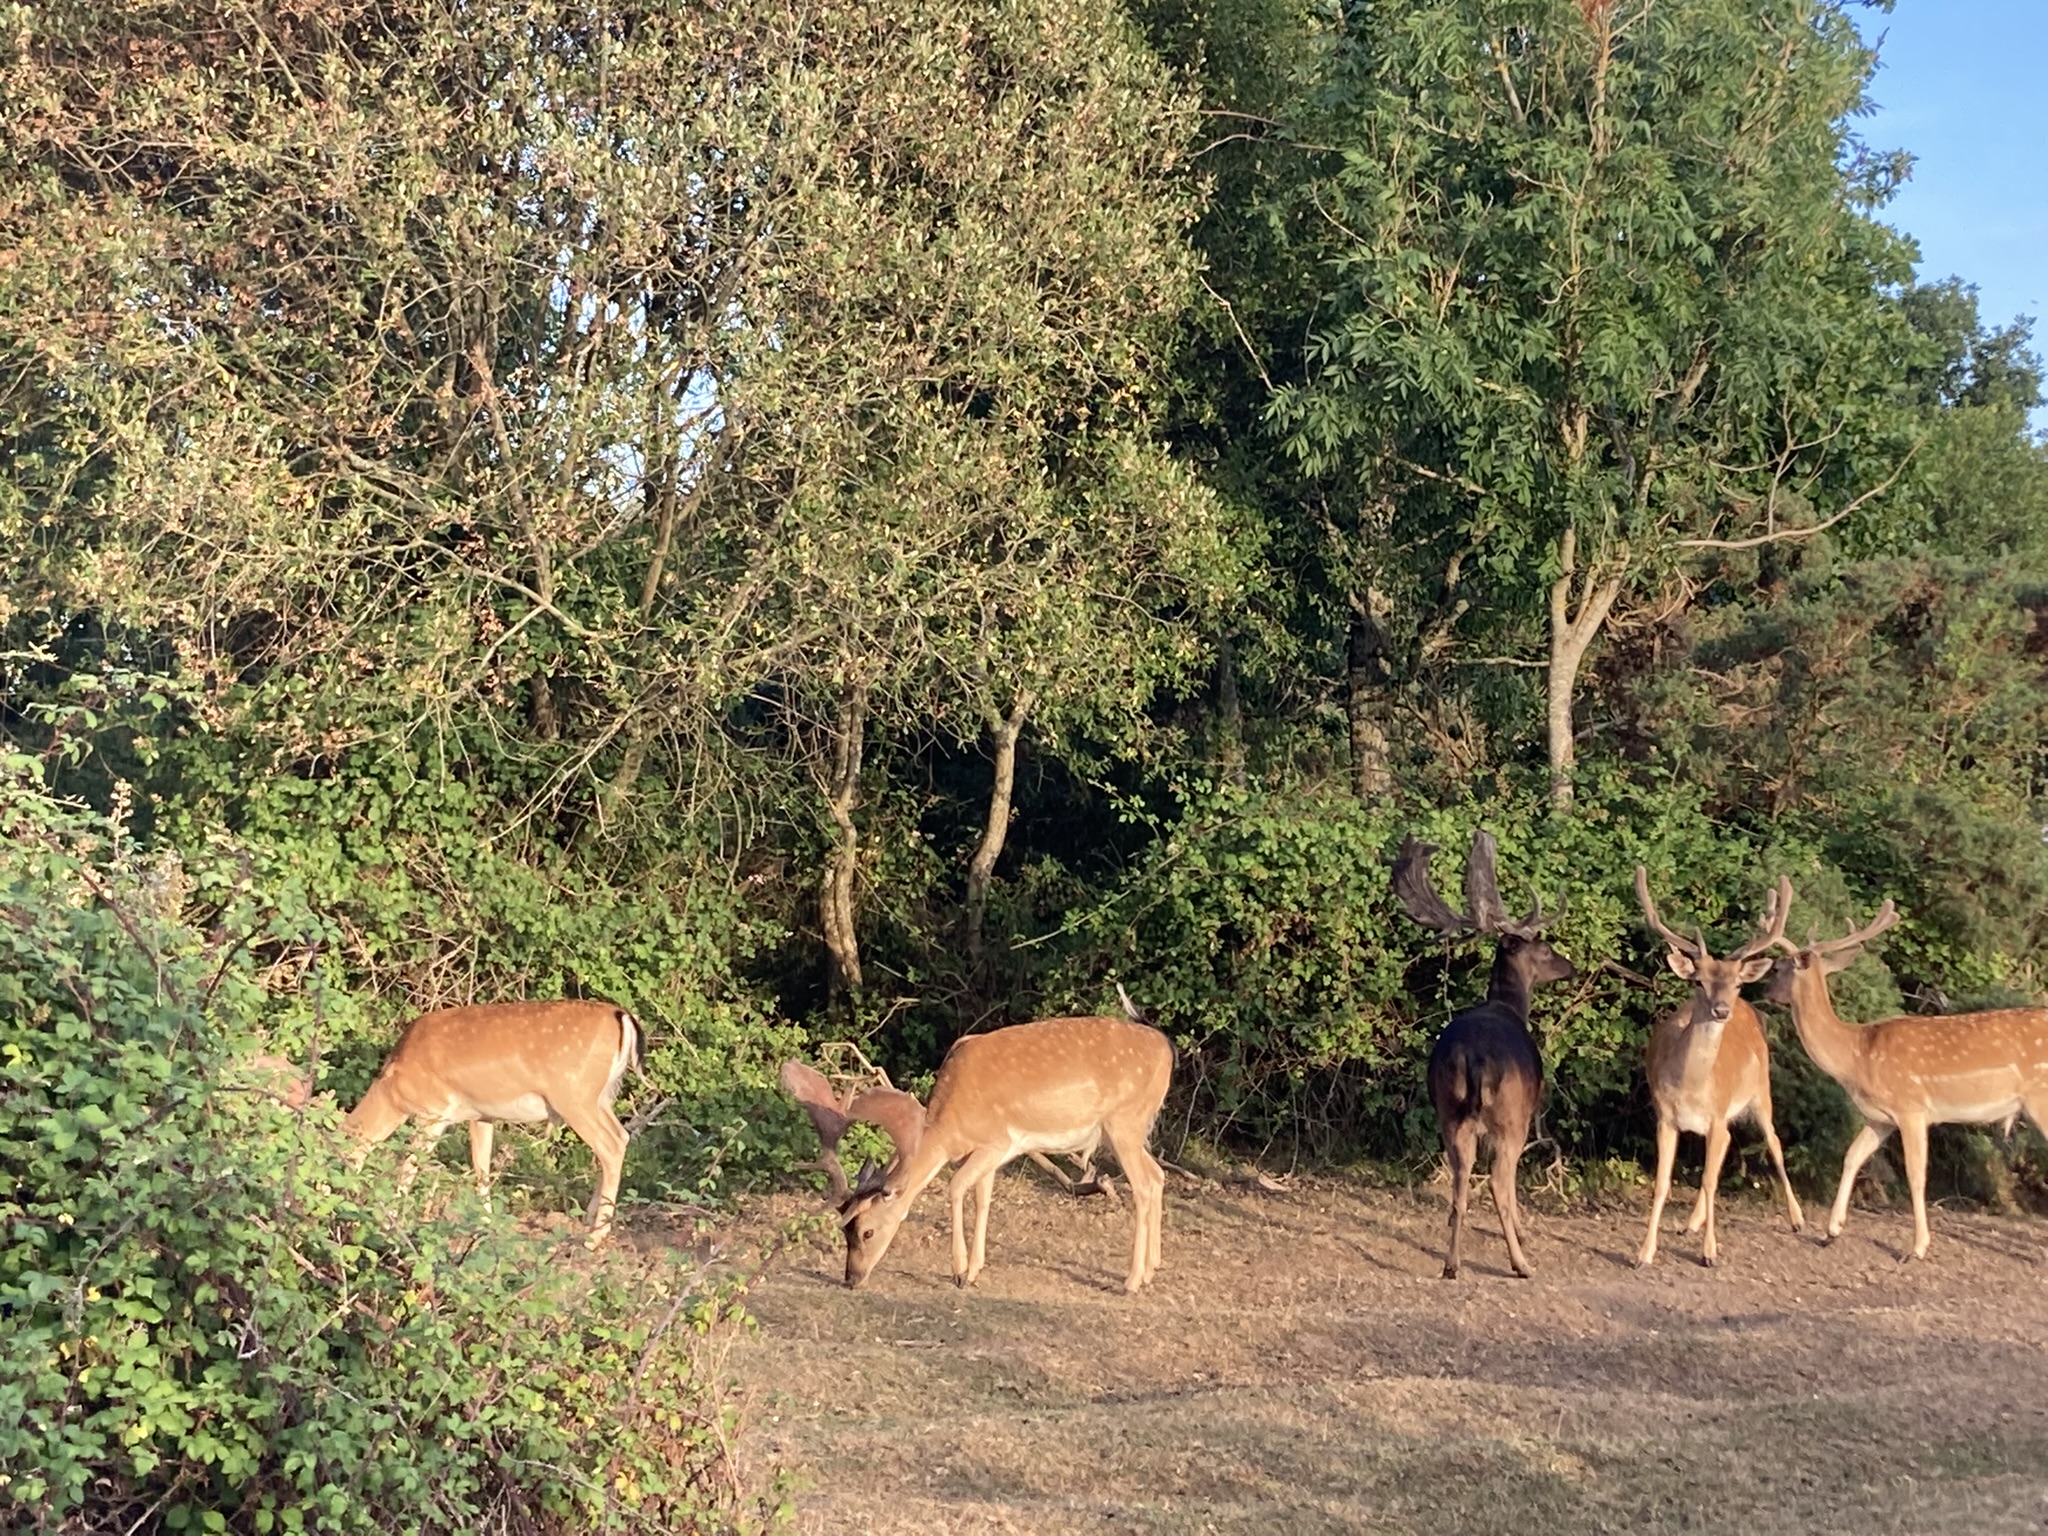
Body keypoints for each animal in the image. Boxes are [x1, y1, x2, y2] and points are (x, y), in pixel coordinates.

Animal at [339, 1003, 638, 1245]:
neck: (394, 1091)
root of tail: (621, 1016)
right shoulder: (481, 1115)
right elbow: (481, 1167)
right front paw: (486, 1222)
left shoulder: (434, 1111)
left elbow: (410, 1164)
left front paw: (390, 1219)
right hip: (600, 1098)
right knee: (621, 1136)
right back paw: (589, 1219)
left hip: (574, 1096)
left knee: (610, 1145)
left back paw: (595, 1237)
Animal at [778, 1015, 1171, 1294]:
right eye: (846, 1231)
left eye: (867, 1232)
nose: (851, 1278)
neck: (950, 1129)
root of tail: (1167, 1050)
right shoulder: (992, 1154)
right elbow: (983, 1199)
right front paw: (975, 1270)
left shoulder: (994, 1143)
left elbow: (955, 1189)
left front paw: (958, 1272)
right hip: (1134, 1130)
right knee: (1158, 1176)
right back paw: (1152, 1269)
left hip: (1124, 1123)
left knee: (1143, 1185)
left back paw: (1131, 1281)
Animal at [1400, 835, 1572, 1277]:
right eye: (1545, 948)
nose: (1570, 966)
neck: (1510, 1007)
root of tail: (1474, 1058)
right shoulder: (1525, 1112)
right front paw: (1523, 1236)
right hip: (1509, 1115)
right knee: (1496, 1179)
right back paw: (1521, 1263)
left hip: (1449, 1110)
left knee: (1459, 1180)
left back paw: (1451, 1263)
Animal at [1622, 872, 1802, 1269]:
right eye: (1698, 981)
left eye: (1736, 982)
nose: (1721, 1010)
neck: (1690, 1087)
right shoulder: (1665, 1117)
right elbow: (1663, 1183)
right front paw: (1644, 1253)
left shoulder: (1717, 1115)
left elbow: (1707, 1179)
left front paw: (1710, 1253)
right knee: (1730, 1148)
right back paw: (1690, 1224)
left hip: (1761, 1091)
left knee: (1774, 1143)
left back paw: (1798, 1219)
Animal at [1753, 884, 2048, 1269]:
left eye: (1777, 967)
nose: (1763, 992)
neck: (1856, 1057)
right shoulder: (1880, 1118)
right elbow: (1852, 1156)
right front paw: (1831, 1231)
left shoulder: (1912, 1108)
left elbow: (1915, 1174)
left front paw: (1917, 1248)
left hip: (2041, 1097)